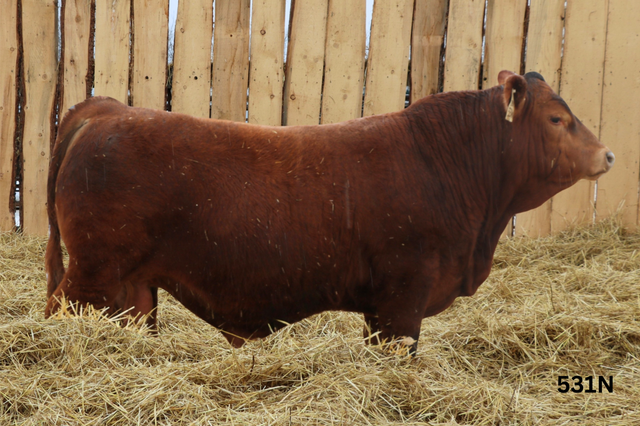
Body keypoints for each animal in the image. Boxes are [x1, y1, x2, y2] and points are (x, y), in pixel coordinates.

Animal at [44, 71, 614, 354]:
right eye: (557, 118)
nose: (607, 154)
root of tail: (108, 111)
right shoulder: (404, 294)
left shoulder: (382, 307)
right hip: (92, 273)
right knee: (61, 312)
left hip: (132, 288)